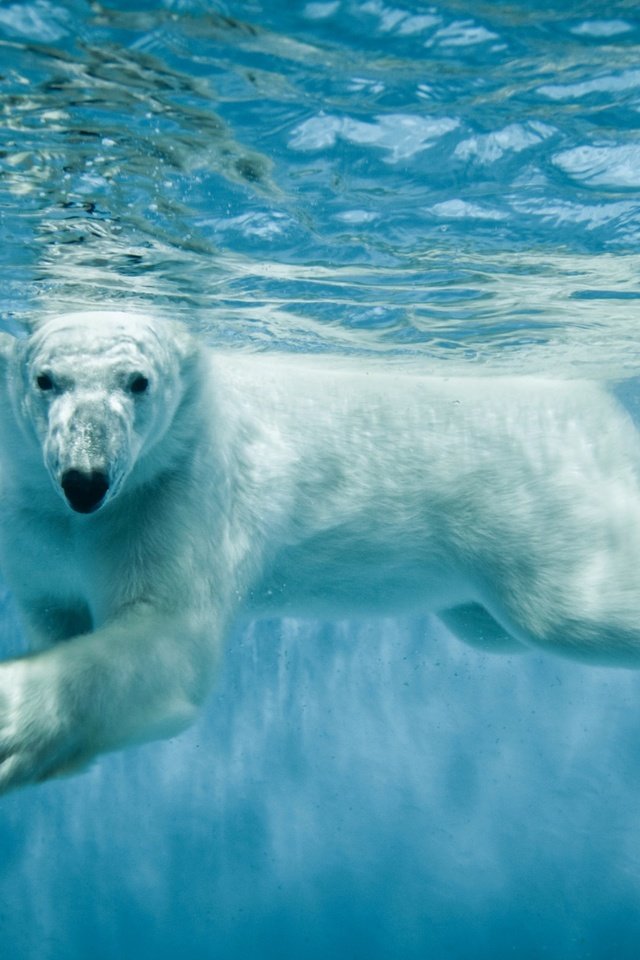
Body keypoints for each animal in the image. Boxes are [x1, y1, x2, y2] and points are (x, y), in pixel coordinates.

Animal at [0, 312, 640, 792]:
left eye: (138, 381)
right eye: (45, 379)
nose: (86, 480)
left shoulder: (174, 492)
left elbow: (167, 640)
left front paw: (11, 720)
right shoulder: (35, 535)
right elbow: (58, 610)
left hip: (531, 502)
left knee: (569, 614)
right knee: (486, 627)